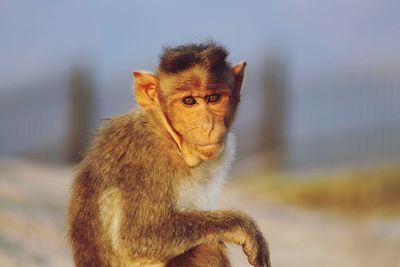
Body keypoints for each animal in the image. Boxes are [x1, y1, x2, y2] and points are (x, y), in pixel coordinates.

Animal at [67, 42, 270, 267]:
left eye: (214, 98)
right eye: (189, 101)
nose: (208, 126)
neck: (170, 137)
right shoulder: (144, 157)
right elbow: (136, 237)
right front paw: (243, 227)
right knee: (206, 249)